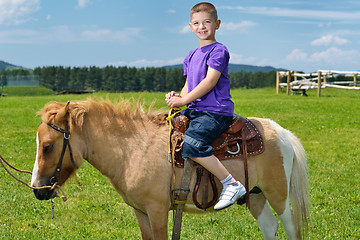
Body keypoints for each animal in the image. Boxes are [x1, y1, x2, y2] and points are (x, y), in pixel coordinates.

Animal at [30, 98, 310, 239]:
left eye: (48, 146)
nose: (37, 190)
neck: (133, 148)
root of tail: (282, 132)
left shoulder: (157, 210)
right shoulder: (141, 212)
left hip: (277, 194)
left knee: (291, 227)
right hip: (255, 195)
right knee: (269, 227)